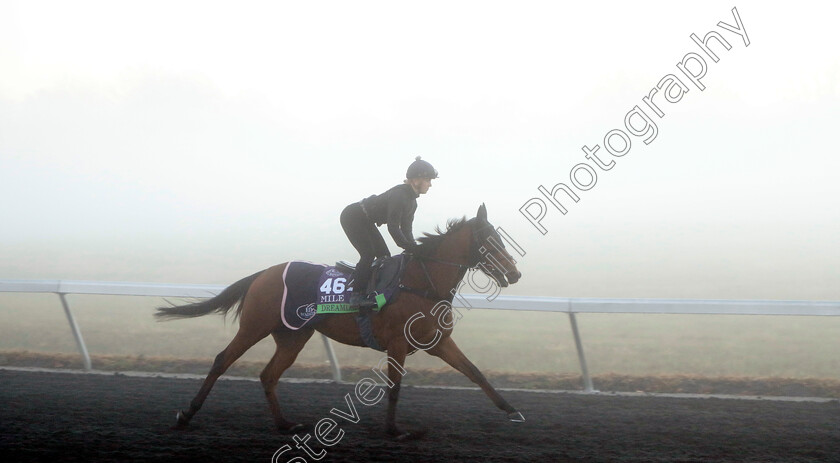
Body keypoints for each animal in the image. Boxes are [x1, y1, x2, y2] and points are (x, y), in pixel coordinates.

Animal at [155, 205, 520, 440]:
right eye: (490, 240)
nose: (515, 274)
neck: (421, 281)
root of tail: (264, 273)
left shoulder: (438, 342)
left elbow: (475, 372)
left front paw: (512, 410)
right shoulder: (397, 345)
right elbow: (394, 388)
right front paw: (395, 430)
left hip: (293, 336)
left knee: (268, 375)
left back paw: (286, 424)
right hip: (255, 326)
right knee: (223, 360)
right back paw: (186, 414)